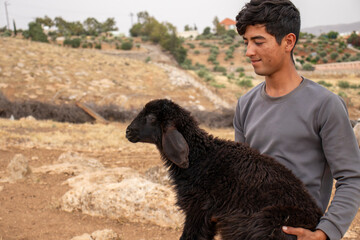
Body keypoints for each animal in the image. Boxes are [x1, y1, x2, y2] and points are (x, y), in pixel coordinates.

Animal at [125, 98, 322, 239]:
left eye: (151, 118)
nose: (128, 131)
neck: (200, 157)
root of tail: (315, 219)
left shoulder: (198, 209)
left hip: (264, 223)